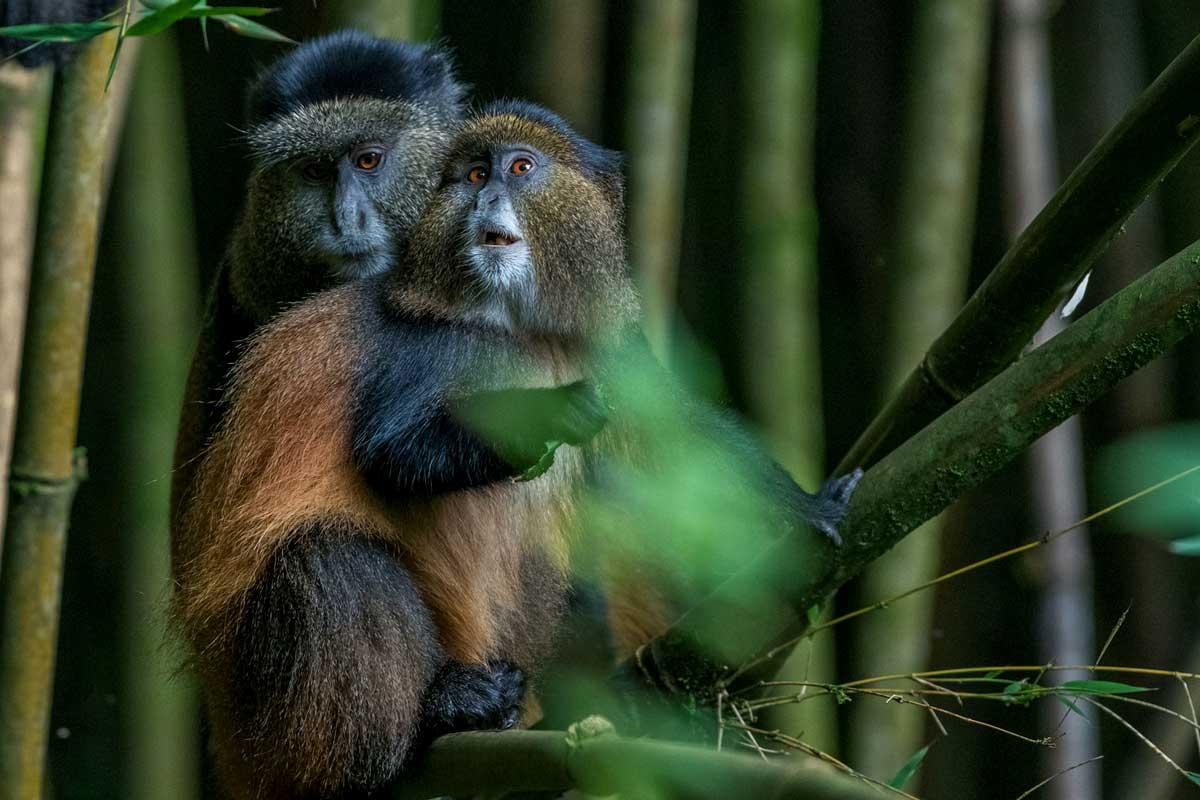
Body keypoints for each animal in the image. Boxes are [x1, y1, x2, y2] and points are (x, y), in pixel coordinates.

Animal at [173, 99, 858, 798]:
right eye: (475, 175)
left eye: (520, 168)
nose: (487, 197)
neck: (520, 330)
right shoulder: (428, 347)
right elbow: (394, 453)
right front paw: (553, 413)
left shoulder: (612, 346)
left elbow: (678, 434)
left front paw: (808, 507)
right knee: (326, 556)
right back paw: (423, 726)